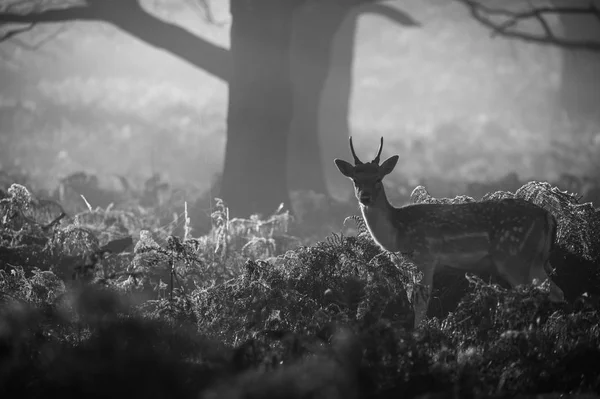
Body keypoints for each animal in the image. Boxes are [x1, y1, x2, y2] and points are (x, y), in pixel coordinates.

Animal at [336, 136, 564, 330]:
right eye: (355, 180)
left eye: (378, 178)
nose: (365, 197)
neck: (397, 235)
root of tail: (548, 216)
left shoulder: (425, 257)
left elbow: (421, 302)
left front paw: (419, 334)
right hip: (535, 261)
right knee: (555, 291)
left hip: (514, 256)